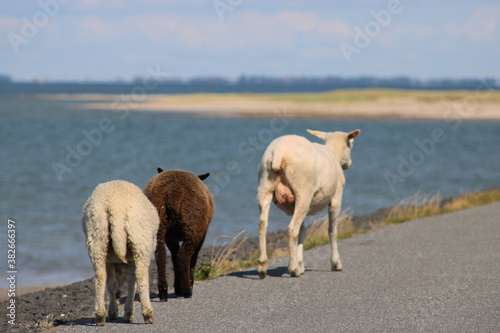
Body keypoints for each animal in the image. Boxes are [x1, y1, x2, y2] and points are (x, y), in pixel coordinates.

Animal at [82, 179, 160, 324]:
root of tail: (116, 206)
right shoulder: (131, 259)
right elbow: (131, 281)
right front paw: (128, 313)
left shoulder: (110, 260)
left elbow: (112, 283)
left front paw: (114, 312)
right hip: (140, 241)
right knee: (141, 276)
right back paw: (148, 314)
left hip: (98, 238)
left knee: (100, 276)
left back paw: (100, 315)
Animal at [144, 167, 216, 300]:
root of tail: (174, 194)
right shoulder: (202, 234)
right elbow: (192, 257)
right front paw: (184, 286)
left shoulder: (171, 238)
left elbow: (173, 256)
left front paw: (177, 287)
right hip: (193, 228)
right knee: (184, 256)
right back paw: (187, 290)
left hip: (160, 226)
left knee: (161, 255)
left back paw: (163, 291)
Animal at [258, 128, 360, 276]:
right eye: (351, 144)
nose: (350, 164)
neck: (333, 153)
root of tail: (279, 151)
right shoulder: (336, 198)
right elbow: (332, 230)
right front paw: (336, 263)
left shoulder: (293, 204)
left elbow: (303, 231)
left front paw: (300, 264)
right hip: (303, 192)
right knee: (292, 228)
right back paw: (293, 269)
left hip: (265, 185)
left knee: (263, 224)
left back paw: (262, 267)